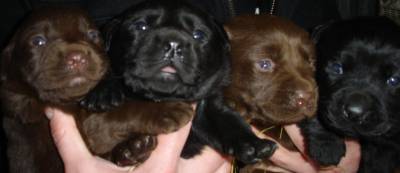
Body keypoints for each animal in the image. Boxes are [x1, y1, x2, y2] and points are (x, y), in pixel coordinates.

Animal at [81, 0, 276, 165]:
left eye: (198, 35)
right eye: (141, 26)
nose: (173, 44)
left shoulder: (208, 105)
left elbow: (228, 120)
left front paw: (253, 144)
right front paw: (103, 91)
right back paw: (131, 150)